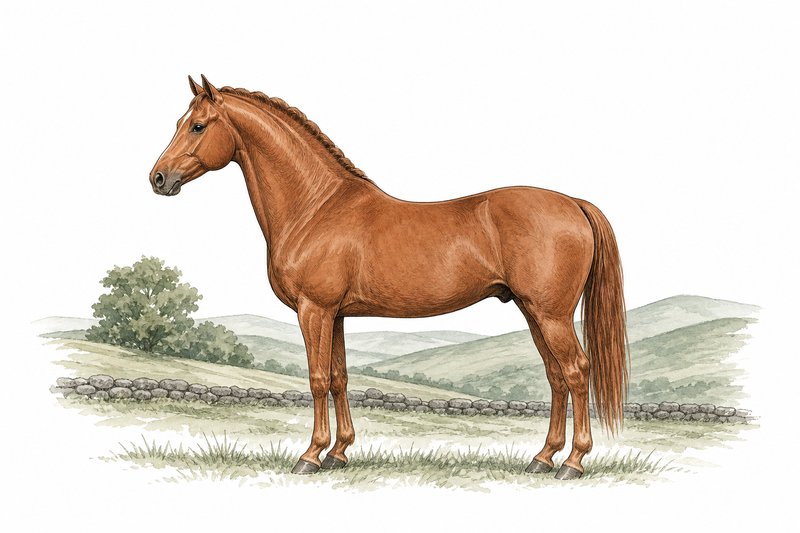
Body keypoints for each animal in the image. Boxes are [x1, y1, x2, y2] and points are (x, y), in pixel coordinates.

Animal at [149, 75, 628, 480]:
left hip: (551, 315)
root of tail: (573, 203)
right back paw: (542, 458)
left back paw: (573, 462)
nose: (158, 178)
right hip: (533, 312)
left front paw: (311, 456)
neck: (316, 207)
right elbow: (339, 378)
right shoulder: (336, 315)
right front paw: (339, 453)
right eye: (179, 123)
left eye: (198, 126)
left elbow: (317, 379)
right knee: (556, 377)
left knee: (576, 371)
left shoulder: (314, 310)